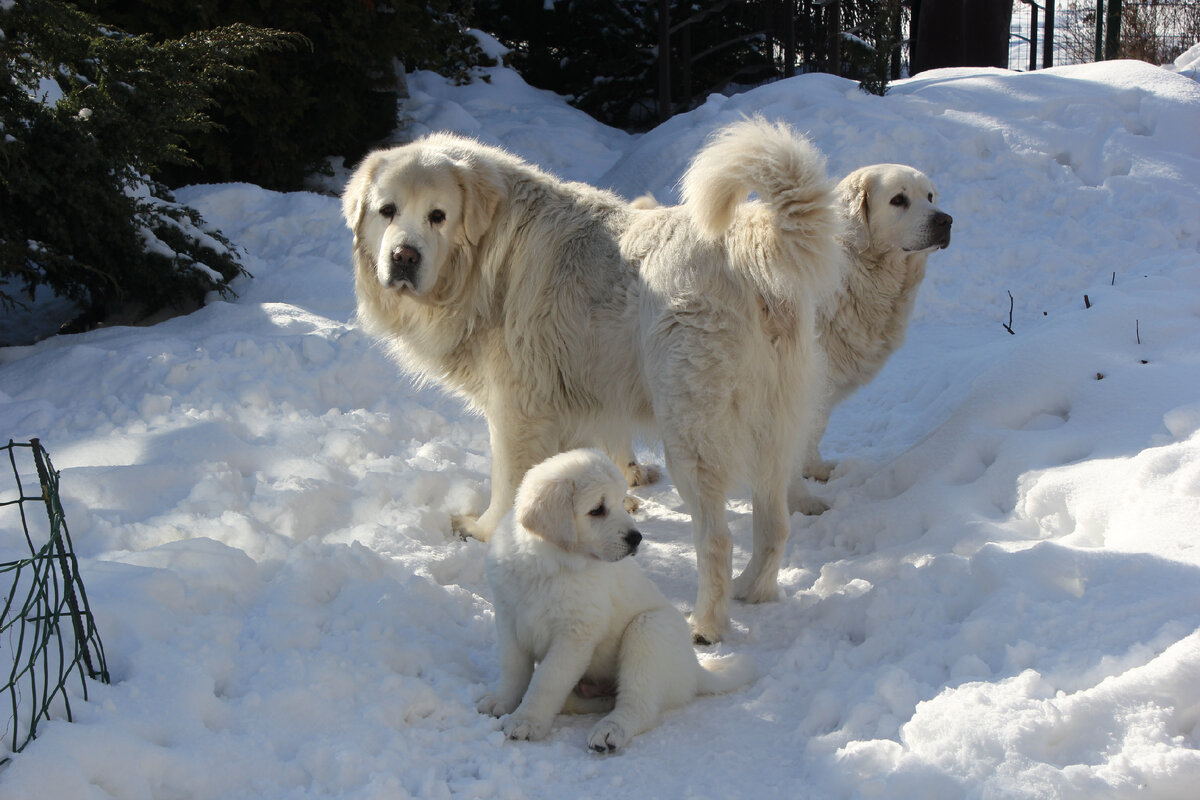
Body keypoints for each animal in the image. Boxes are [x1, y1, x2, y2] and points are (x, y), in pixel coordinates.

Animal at [340, 118, 844, 642]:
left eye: (437, 216)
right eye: (387, 211)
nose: (403, 256)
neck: (487, 256)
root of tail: (750, 242)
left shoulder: (517, 413)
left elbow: (506, 484)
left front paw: (485, 535)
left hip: (692, 437)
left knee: (717, 539)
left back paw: (706, 624)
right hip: (773, 432)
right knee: (774, 525)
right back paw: (753, 590)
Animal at [475, 450, 748, 753]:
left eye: (620, 502)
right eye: (597, 509)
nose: (637, 538)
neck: (546, 561)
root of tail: (696, 670)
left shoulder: (575, 633)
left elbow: (548, 678)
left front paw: (527, 721)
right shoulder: (508, 616)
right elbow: (513, 667)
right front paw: (502, 701)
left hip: (649, 630)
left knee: (638, 706)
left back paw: (609, 731)